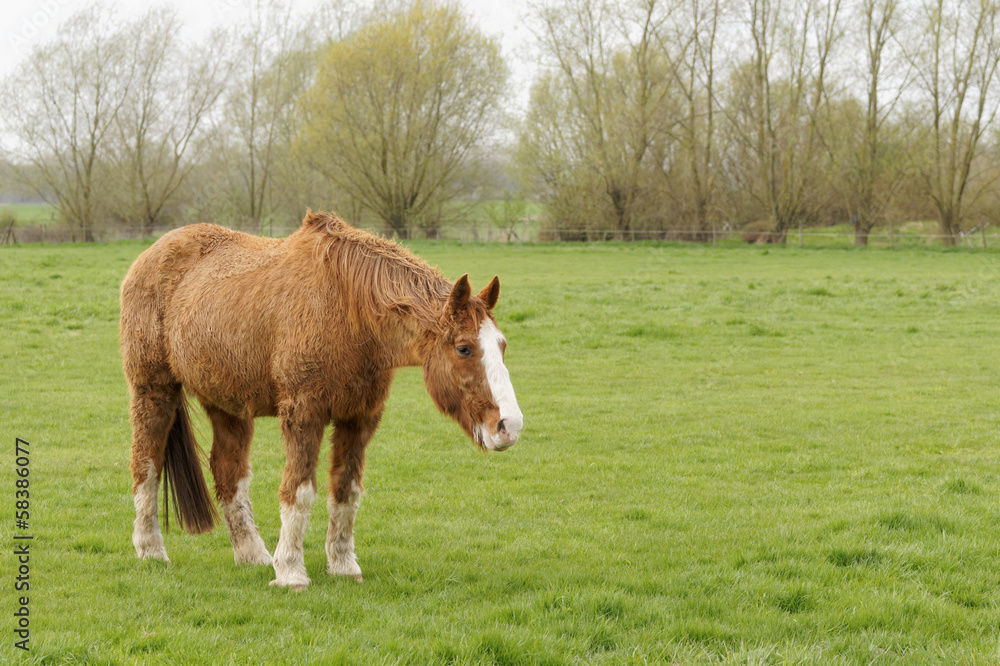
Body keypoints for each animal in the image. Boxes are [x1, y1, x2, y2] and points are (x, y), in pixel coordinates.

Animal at [119, 210, 523, 588]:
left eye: (502, 345)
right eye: (464, 348)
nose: (510, 426)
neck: (348, 310)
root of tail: (153, 253)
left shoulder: (360, 418)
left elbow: (346, 491)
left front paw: (343, 566)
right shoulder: (303, 413)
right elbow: (298, 492)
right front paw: (290, 572)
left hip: (227, 404)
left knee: (228, 470)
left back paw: (252, 555)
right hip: (153, 390)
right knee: (146, 464)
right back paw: (150, 550)